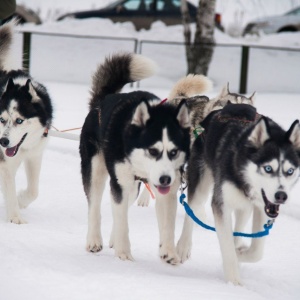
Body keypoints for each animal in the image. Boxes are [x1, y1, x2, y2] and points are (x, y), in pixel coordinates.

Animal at [0, 20, 52, 223]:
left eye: (19, 120)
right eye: (2, 119)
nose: (3, 141)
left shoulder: (34, 155)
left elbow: (33, 191)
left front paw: (21, 200)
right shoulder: (6, 161)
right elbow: (9, 187)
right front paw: (15, 217)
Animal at [79, 52, 191, 264]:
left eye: (173, 152)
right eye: (153, 151)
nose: (165, 179)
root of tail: (102, 100)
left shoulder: (168, 189)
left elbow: (168, 223)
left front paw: (168, 251)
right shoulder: (120, 184)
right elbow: (122, 221)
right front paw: (123, 253)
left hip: (132, 188)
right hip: (97, 171)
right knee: (95, 207)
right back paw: (94, 240)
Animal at [177, 104, 300, 284]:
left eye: (290, 171)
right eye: (268, 168)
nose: (281, 196)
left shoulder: (261, 208)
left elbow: (256, 251)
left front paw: (240, 254)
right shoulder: (221, 204)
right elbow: (227, 247)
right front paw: (234, 283)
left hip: (244, 207)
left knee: (238, 228)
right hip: (201, 184)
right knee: (191, 210)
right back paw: (183, 247)